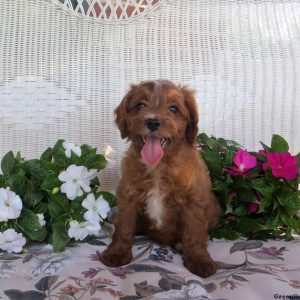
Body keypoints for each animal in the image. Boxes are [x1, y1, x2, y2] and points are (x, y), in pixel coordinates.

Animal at [101, 79, 220, 278]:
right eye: (140, 106)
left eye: (173, 109)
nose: (152, 121)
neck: (159, 166)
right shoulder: (129, 194)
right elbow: (124, 225)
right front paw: (117, 252)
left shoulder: (193, 200)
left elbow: (195, 232)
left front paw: (199, 260)